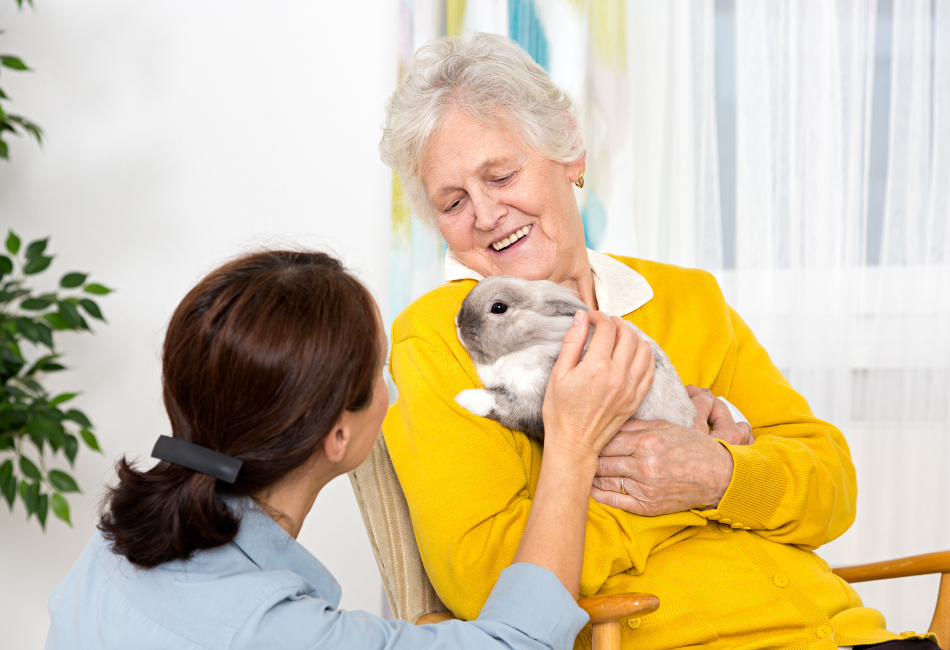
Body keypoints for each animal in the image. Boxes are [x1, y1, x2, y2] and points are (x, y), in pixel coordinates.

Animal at [454, 275, 697, 441]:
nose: (458, 322)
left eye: (498, 307)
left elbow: (502, 404)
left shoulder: (534, 403)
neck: (535, 342)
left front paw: (464, 399)